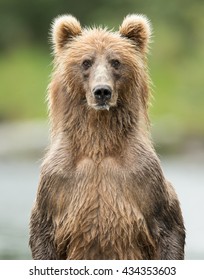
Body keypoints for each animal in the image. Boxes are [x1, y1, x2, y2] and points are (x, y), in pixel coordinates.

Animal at [29, 14, 186, 260]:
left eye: (116, 61)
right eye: (86, 61)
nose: (102, 91)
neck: (99, 141)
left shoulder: (145, 178)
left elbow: (168, 225)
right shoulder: (57, 182)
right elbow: (43, 232)